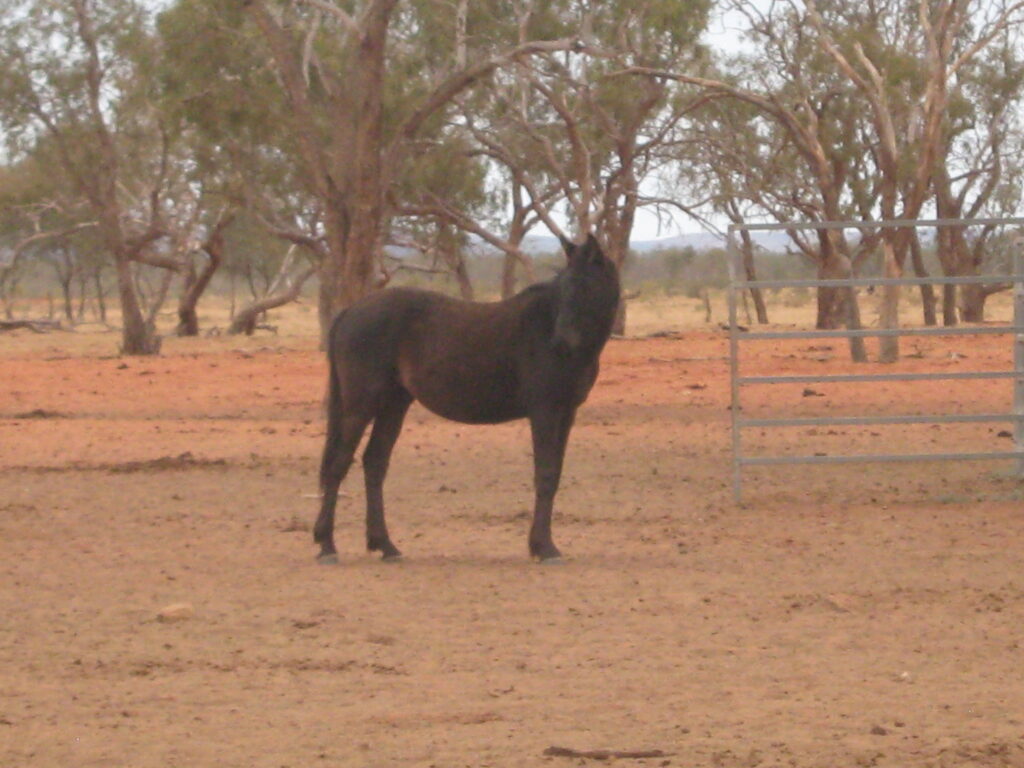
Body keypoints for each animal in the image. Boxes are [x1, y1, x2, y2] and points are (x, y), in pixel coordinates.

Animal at [313, 233, 620, 564]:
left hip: (393, 405)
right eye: (562, 287)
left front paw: (542, 544)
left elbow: (555, 474)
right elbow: (545, 474)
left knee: (374, 463)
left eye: (585, 285)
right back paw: (327, 546)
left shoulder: (566, 413)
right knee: (339, 463)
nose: (561, 342)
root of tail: (351, 311)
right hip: (360, 406)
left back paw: (385, 545)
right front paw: (544, 547)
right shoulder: (545, 412)